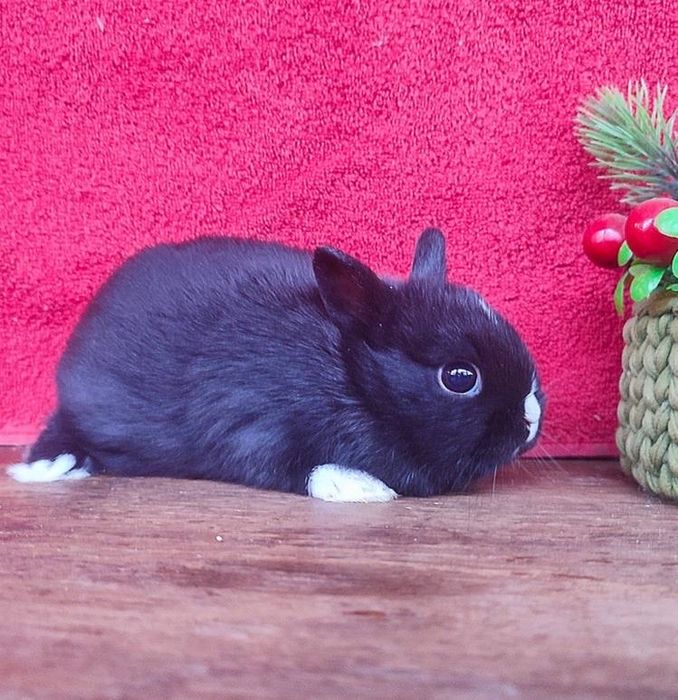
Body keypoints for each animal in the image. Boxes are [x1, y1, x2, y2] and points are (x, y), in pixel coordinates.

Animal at [8, 228, 544, 501]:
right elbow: (304, 467)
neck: (350, 377)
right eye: (460, 377)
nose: (531, 419)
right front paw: (359, 486)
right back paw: (50, 465)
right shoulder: (255, 428)